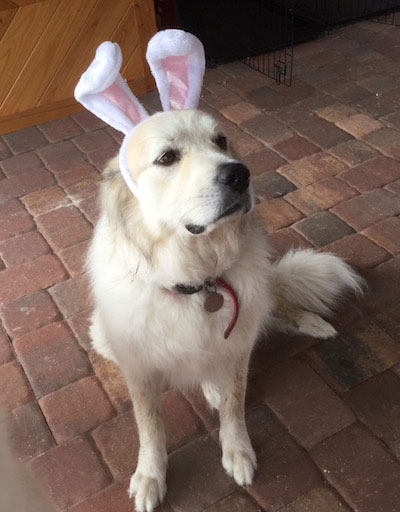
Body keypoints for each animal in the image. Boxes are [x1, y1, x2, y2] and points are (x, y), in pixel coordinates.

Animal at [73, 30, 360, 512]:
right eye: (167, 157)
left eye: (221, 142)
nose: (240, 175)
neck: (197, 278)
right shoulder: (139, 369)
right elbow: (150, 428)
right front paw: (150, 477)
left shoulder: (239, 346)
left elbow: (234, 404)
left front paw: (237, 451)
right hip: (103, 335)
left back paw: (311, 325)